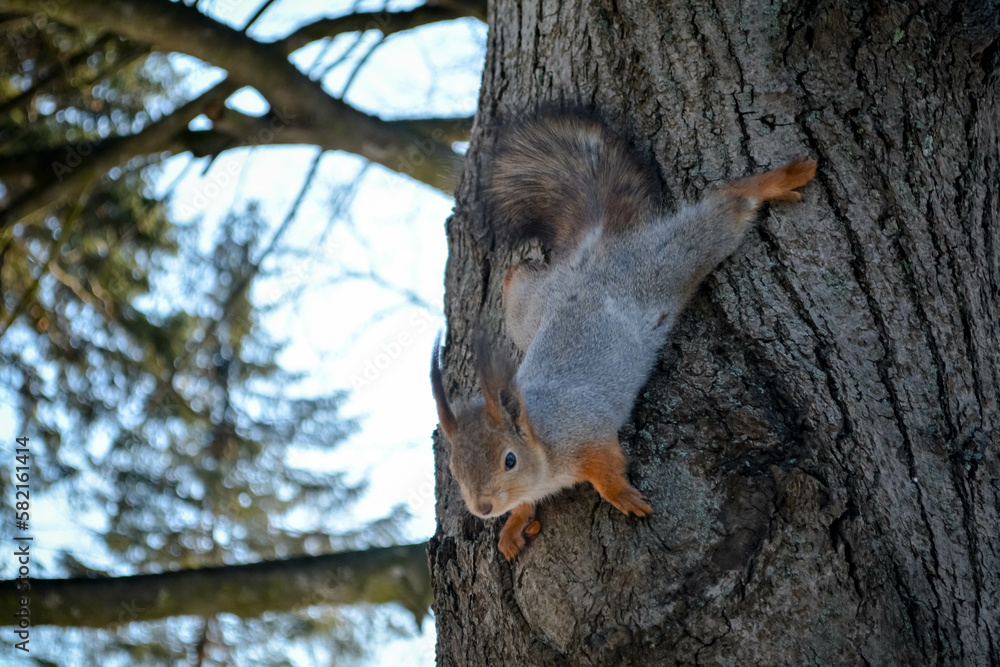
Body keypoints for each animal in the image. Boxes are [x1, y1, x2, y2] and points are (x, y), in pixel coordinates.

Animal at [432, 111, 816, 560]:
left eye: (509, 460)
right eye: (455, 469)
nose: (484, 507)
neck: (541, 437)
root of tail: (596, 254)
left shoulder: (588, 434)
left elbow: (608, 468)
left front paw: (622, 497)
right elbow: (526, 503)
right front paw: (514, 524)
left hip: (666, 265)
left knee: (724, 210)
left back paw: (781, 179)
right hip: (528, 310)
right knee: (516, 275)